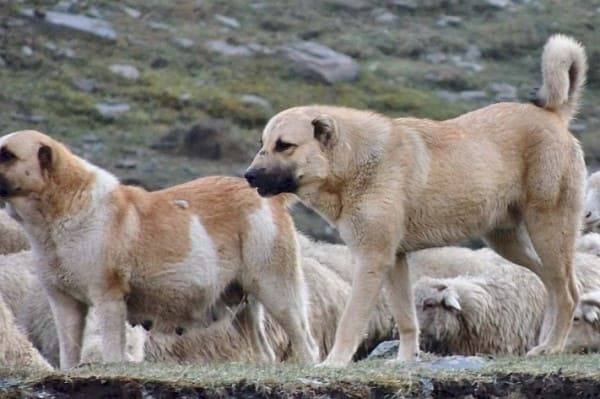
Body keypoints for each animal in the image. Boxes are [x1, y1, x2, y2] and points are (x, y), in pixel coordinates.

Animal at [0, 130, 318, 368]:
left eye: (7, 154)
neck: (65, 207)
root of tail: (269, 197)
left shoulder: (108, 298)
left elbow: (112, 348)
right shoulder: (64, 302)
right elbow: (69, 351)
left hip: (277, 289)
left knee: (306, 343)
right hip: (244, 304)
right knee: (264, 352)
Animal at [246, 34, 588, 366]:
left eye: (284, 145)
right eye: (263, 143)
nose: (248, 176)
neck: (354, 163)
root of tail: (553, 116)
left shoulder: (372, 259)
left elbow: (351, 320)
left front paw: (334, 363)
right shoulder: (395, 260)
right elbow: (406, 319)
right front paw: (405, 359)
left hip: (548, 230)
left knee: (568, 290)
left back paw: (553, 346)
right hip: (507, 241)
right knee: (551, 285)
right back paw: (544, 342)